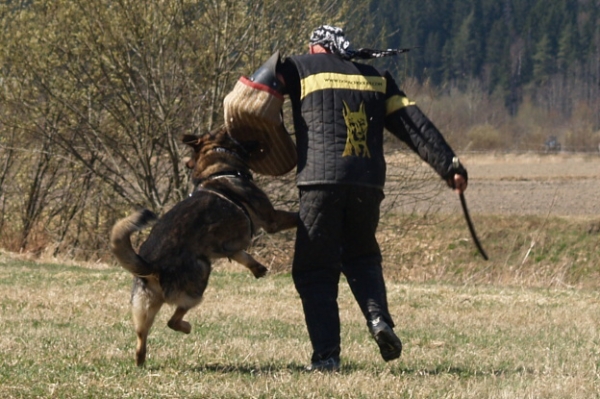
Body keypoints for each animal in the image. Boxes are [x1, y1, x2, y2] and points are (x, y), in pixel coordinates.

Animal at [110, 126, 298, 368]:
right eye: (227, 131)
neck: (218, 169)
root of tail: (152, 267)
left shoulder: (230, 246)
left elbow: (242, 255)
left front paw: (257, 268)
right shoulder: (272, 219)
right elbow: (295, 217)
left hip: (143, 308)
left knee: (141, 337)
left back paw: (141, 361)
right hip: (201, 272)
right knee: (173, 320)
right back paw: (186, 327)